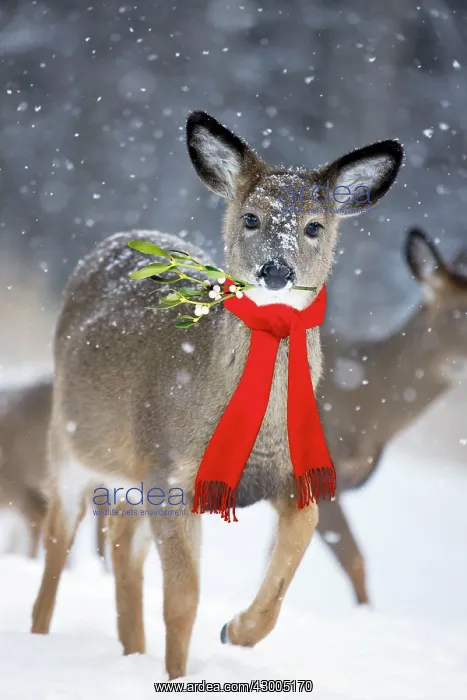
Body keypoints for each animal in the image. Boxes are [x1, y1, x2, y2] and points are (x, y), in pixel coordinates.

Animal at [31, 110, 403, 679]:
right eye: (250, 218)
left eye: (314, 226)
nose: (277, 269)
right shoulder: (170, 473)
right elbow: (183, 598)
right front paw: (179, 676)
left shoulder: (287, 474)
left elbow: (300, 538)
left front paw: (238, 630)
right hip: (68, 444)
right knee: (57, 545)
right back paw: (41, 639)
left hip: (130, 475)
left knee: (120, 545)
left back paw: (132, 651)